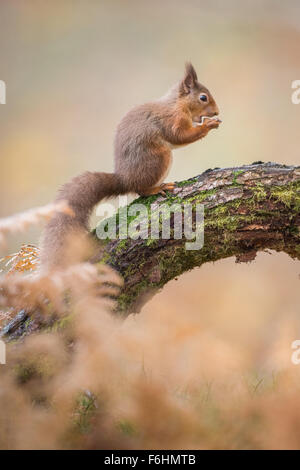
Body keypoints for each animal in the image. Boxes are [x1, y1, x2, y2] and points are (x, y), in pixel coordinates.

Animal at [40, 62, 220, 268]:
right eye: (203, 97)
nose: (217, 112)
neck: (177, 104)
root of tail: (124, 179)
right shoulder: (173, 119)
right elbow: (179, 136)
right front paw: (208, 125)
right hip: (159, 159)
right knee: (141, 190)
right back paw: (157, 188)